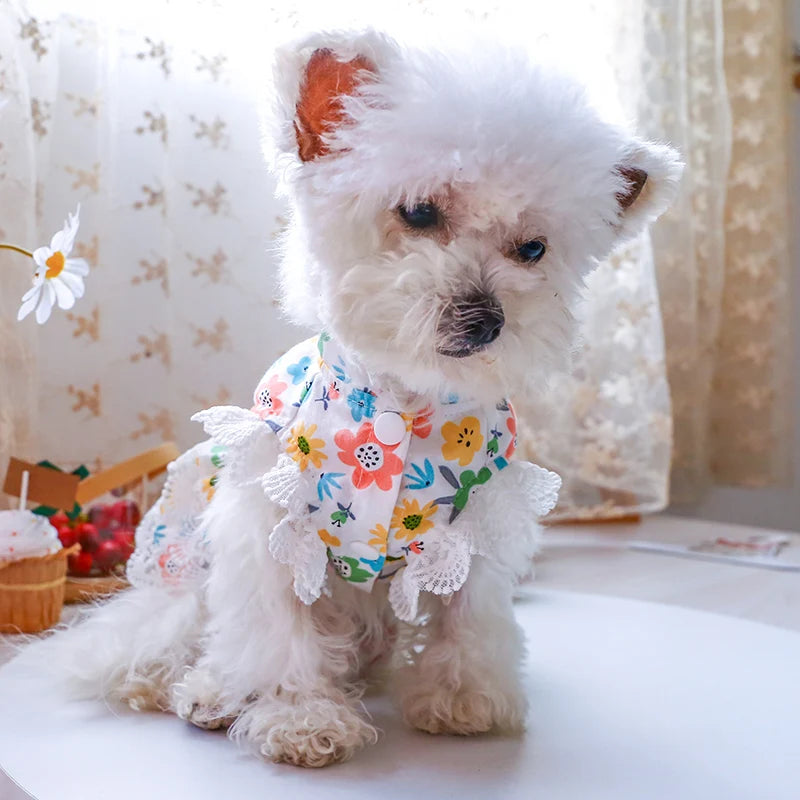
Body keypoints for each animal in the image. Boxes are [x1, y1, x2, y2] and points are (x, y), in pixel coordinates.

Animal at [45, 31, 680, 768]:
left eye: (532, 248)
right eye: (419, 211)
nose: (485, 319)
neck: (402, 403)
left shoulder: (476, 524)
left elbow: (471, 618)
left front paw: (465, 696)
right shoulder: (274, 530)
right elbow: (282, 633)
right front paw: (302, 719)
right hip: (189, 572)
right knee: (181, 637)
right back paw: (205, 692)